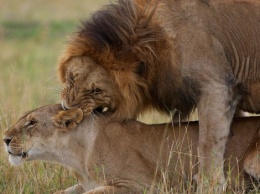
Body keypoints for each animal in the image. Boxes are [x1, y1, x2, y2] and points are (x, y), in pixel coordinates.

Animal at [3, 104, 260, 193]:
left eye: (32, 123)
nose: (4, 139)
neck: (77, 156)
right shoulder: (84, 183)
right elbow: (61, 193)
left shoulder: (143, 186)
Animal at [58, 0, 260, 188]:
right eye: (71, 78)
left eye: (96, 91)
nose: (67, 109)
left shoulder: (216, 86)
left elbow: (208, 143)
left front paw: (210, 184)